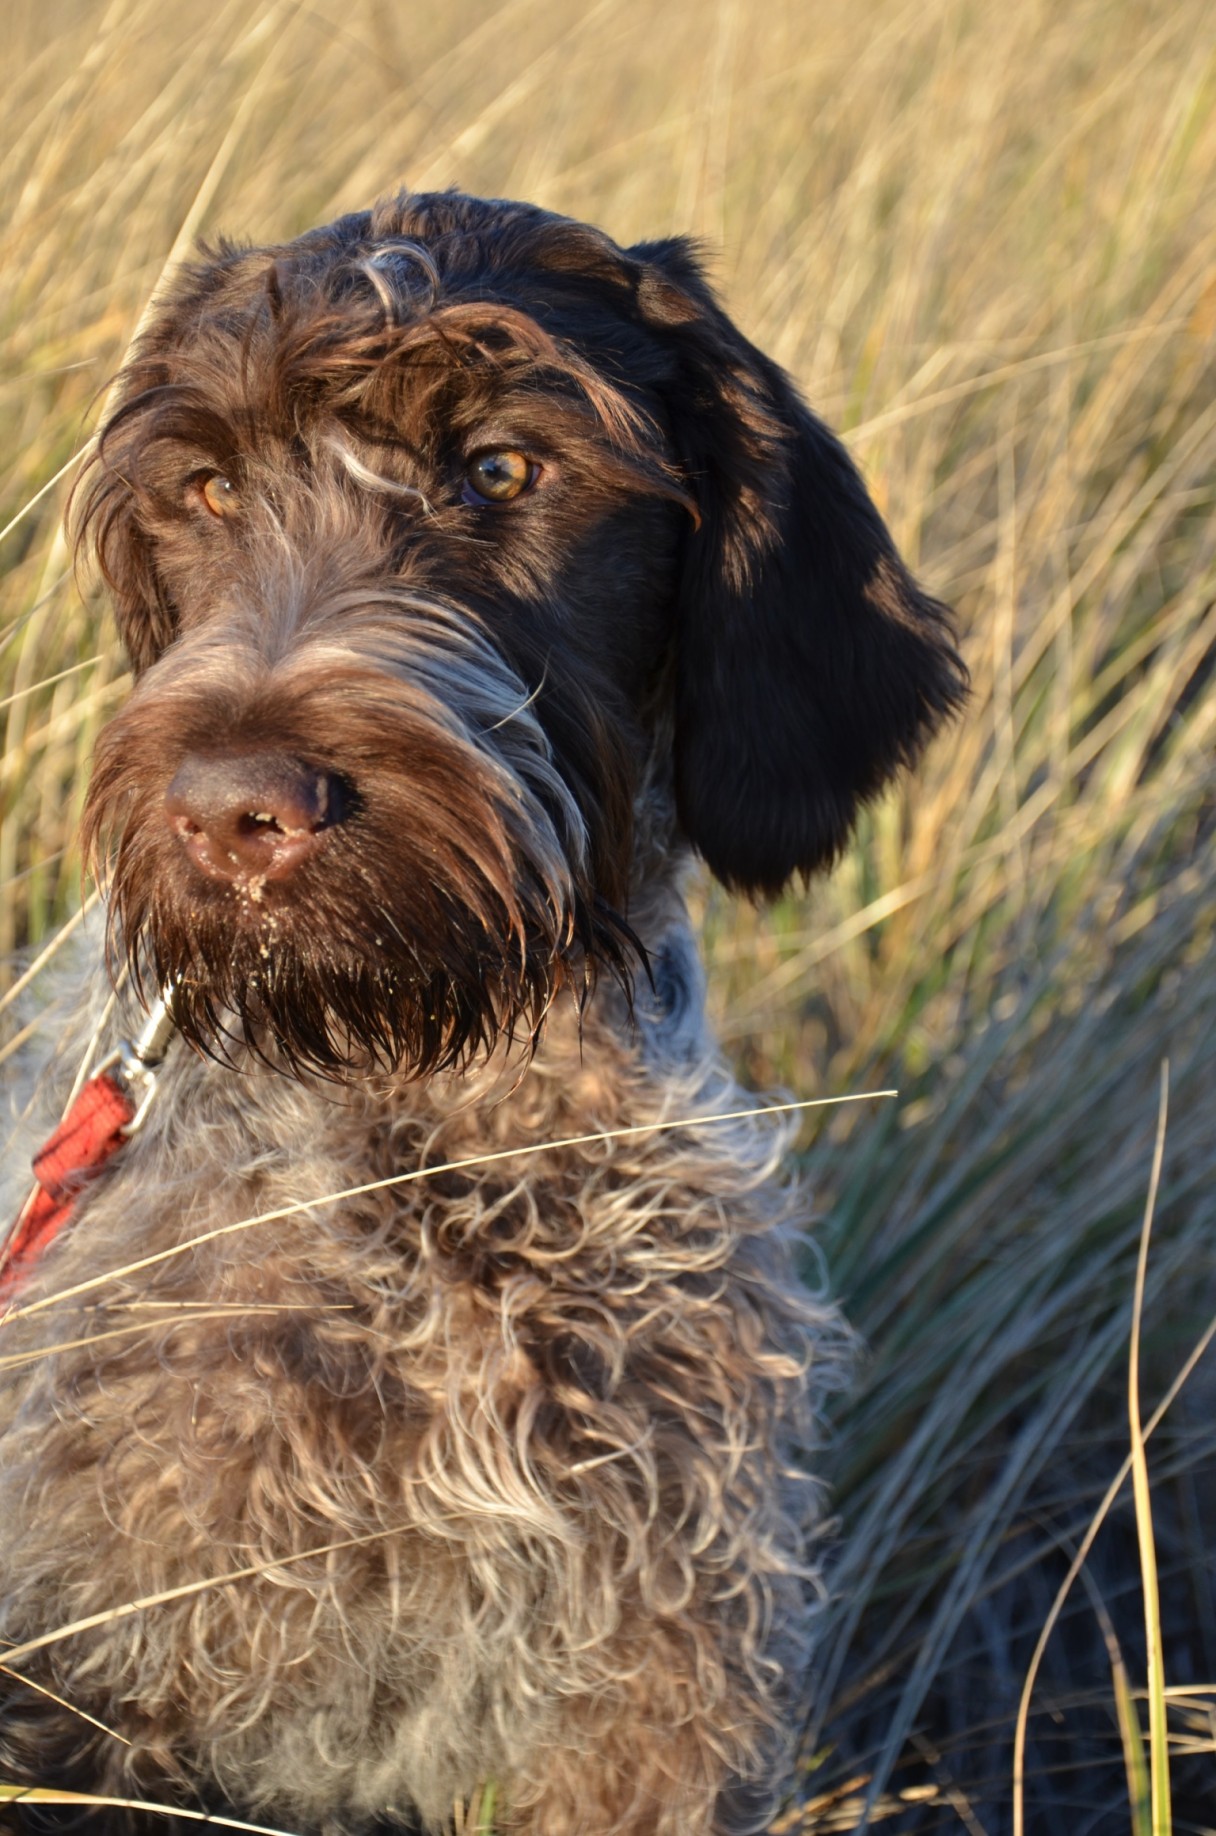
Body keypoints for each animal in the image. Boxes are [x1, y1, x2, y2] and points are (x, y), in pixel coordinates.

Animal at [0, 193, 969, 1828]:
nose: (235, 812)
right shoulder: (97, 1678)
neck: (436, 1142)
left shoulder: (650, 1691)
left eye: (503, 470)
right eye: (207, 485)